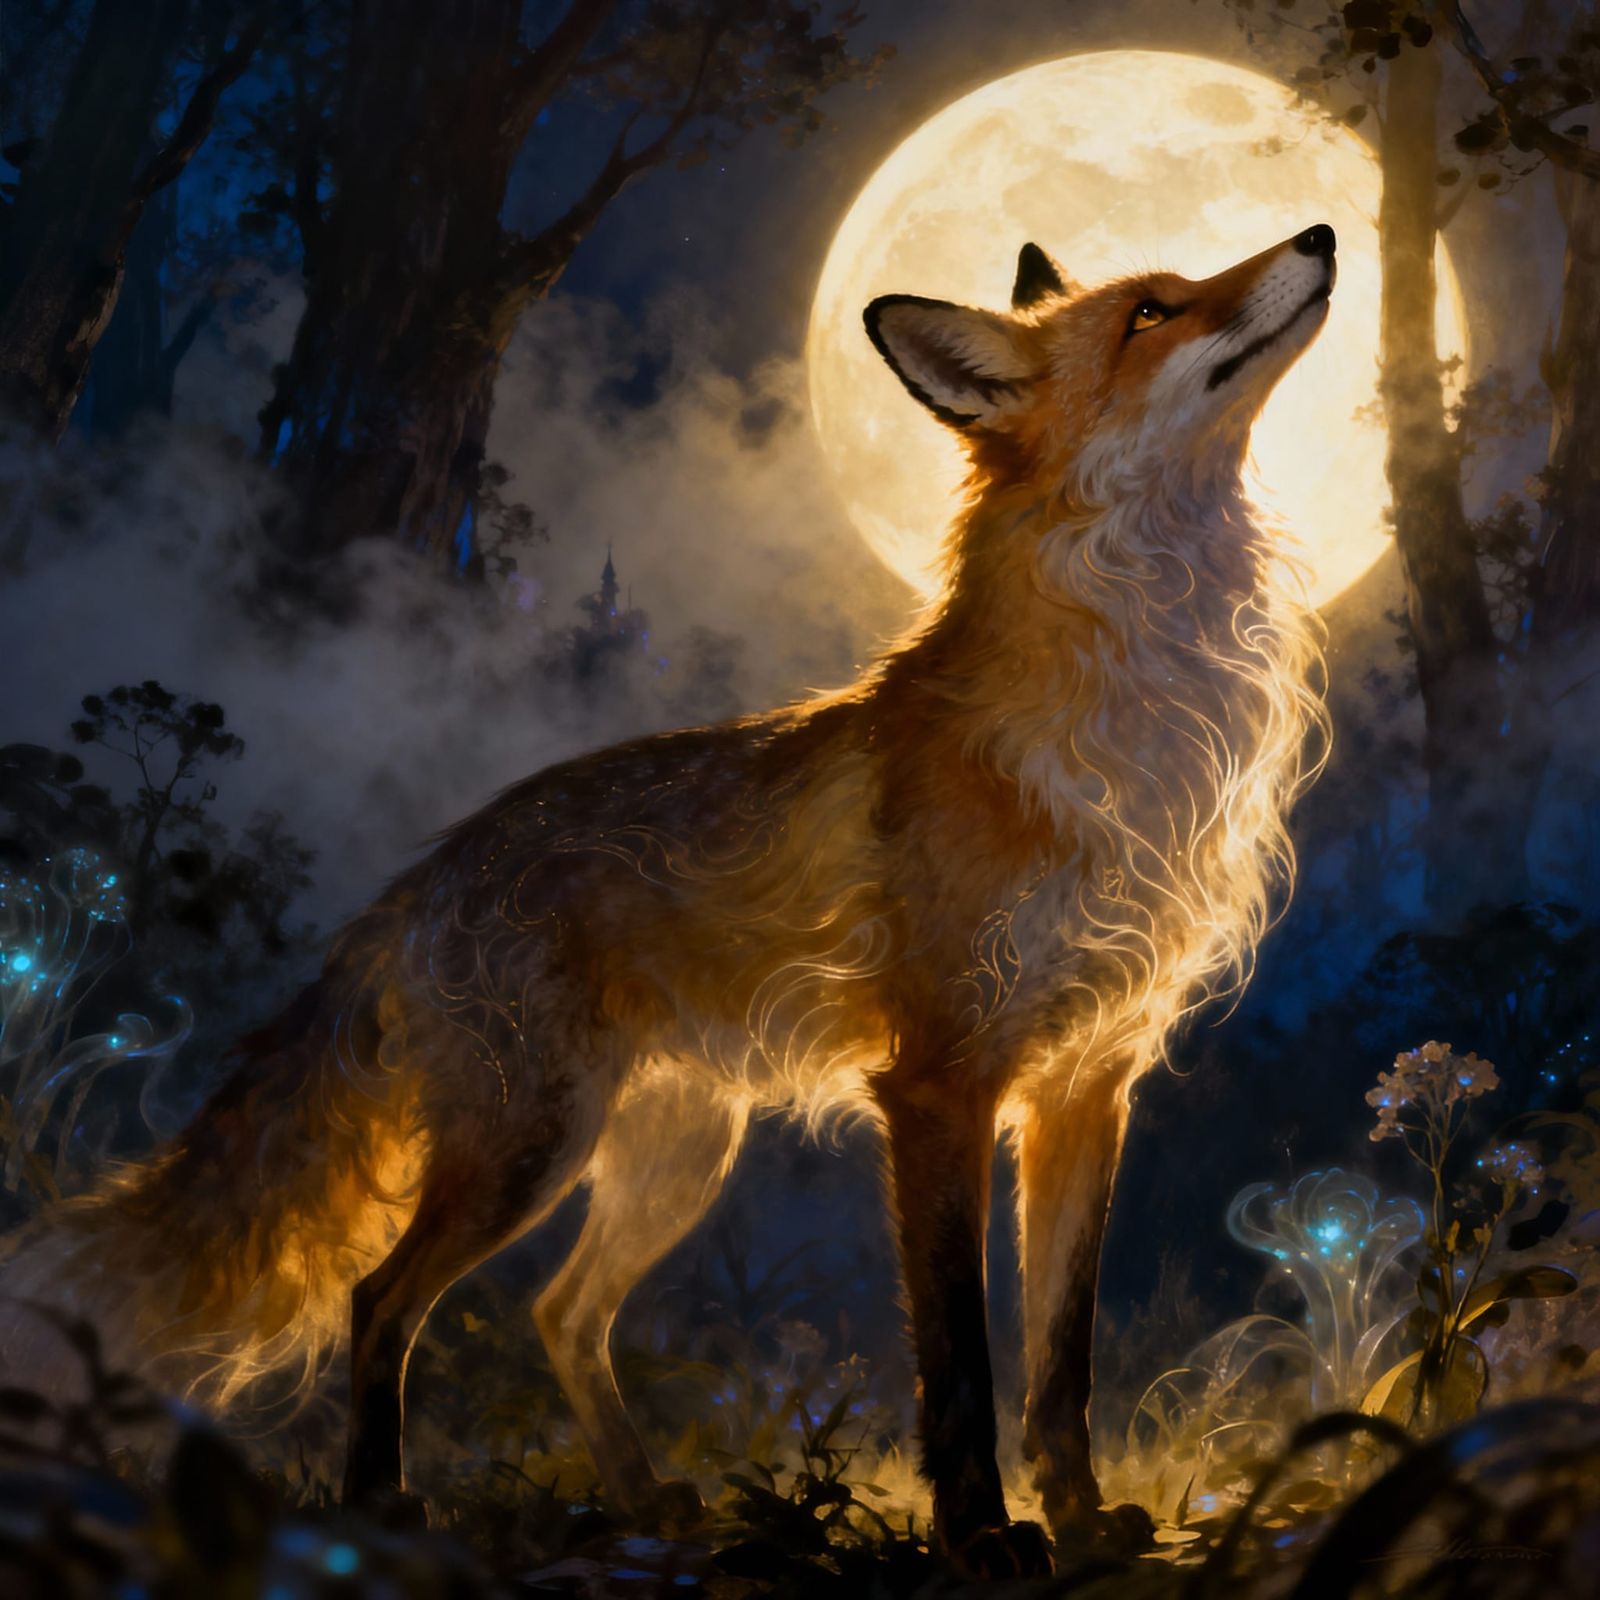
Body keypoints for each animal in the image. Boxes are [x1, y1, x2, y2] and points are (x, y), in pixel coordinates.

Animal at [1, 225, 1334, 1577]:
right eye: (1152, 312)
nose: (1322, 235)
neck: (1129, 723)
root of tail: (422, 875)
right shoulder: (938, 1080)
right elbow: (958, 1353)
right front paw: (978, 1534)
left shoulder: (1086, 1083)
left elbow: (1060, 1357)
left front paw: (1076, 1520)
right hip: (530, 1147)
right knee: (382, 1298)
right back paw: (383, 1506)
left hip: (673, 1155)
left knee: (560, 1310)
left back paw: (641, 1500)